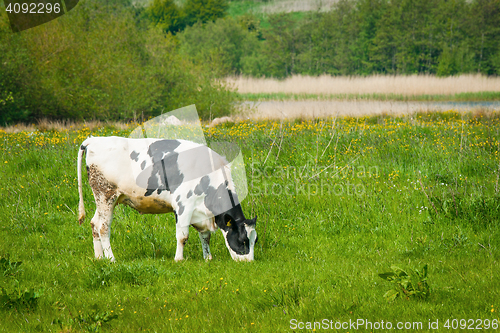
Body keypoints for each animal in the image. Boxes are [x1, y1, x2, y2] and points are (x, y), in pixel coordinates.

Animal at [79, 136, 258, 260]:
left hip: (105, 199)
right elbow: (183, 236)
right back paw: (111, 259)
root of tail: (94, 140)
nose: (248, 263)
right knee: (103, 227)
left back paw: (99, 258)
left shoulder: (200, 213)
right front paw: (178, 259)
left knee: (94, 223)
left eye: (254, 241)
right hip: (106, 194)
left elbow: (205, 236)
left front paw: (208, 258)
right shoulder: (183, 205)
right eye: (242, 240)